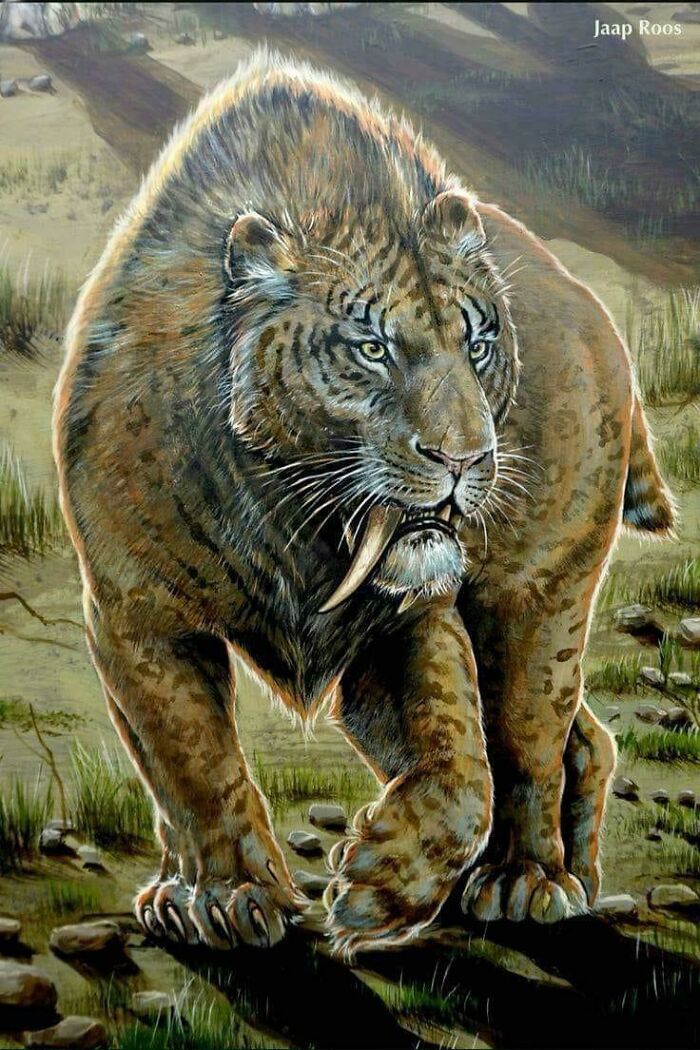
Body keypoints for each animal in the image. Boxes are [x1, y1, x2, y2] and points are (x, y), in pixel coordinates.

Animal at [53, 52, 673, 954]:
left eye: (478, 342)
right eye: (373, 348)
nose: (465, 458)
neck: (292, 512)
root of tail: (594, 309)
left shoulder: (411, 617)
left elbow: (463, 767)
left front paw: (378, 885)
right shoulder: (139, 614)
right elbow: (191, 763)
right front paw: (226, 895)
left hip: (537, 599)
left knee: (532, 739)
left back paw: (529, 879)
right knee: (583, 738)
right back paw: (568, 878)